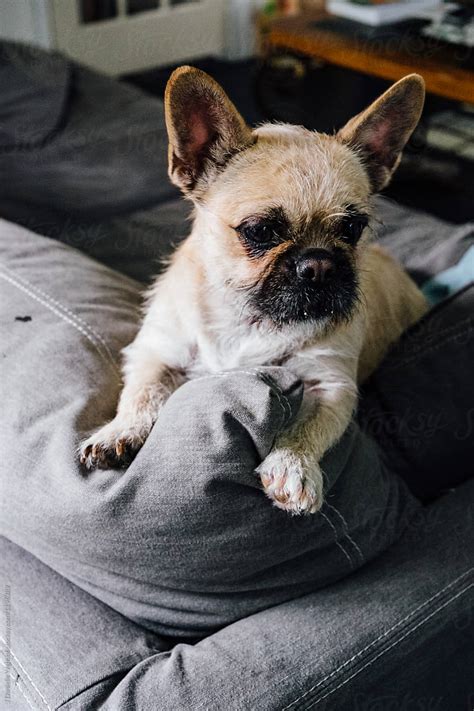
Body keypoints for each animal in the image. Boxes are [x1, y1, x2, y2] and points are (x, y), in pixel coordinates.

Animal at [79, 67, 428, 516]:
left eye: (352, 228)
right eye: (260, 231)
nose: (319, 263)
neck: (250, 316)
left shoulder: (331, 386)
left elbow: (307, 429)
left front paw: (292, 466)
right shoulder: (156, 355)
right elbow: (140, 396)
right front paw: (119, 431)